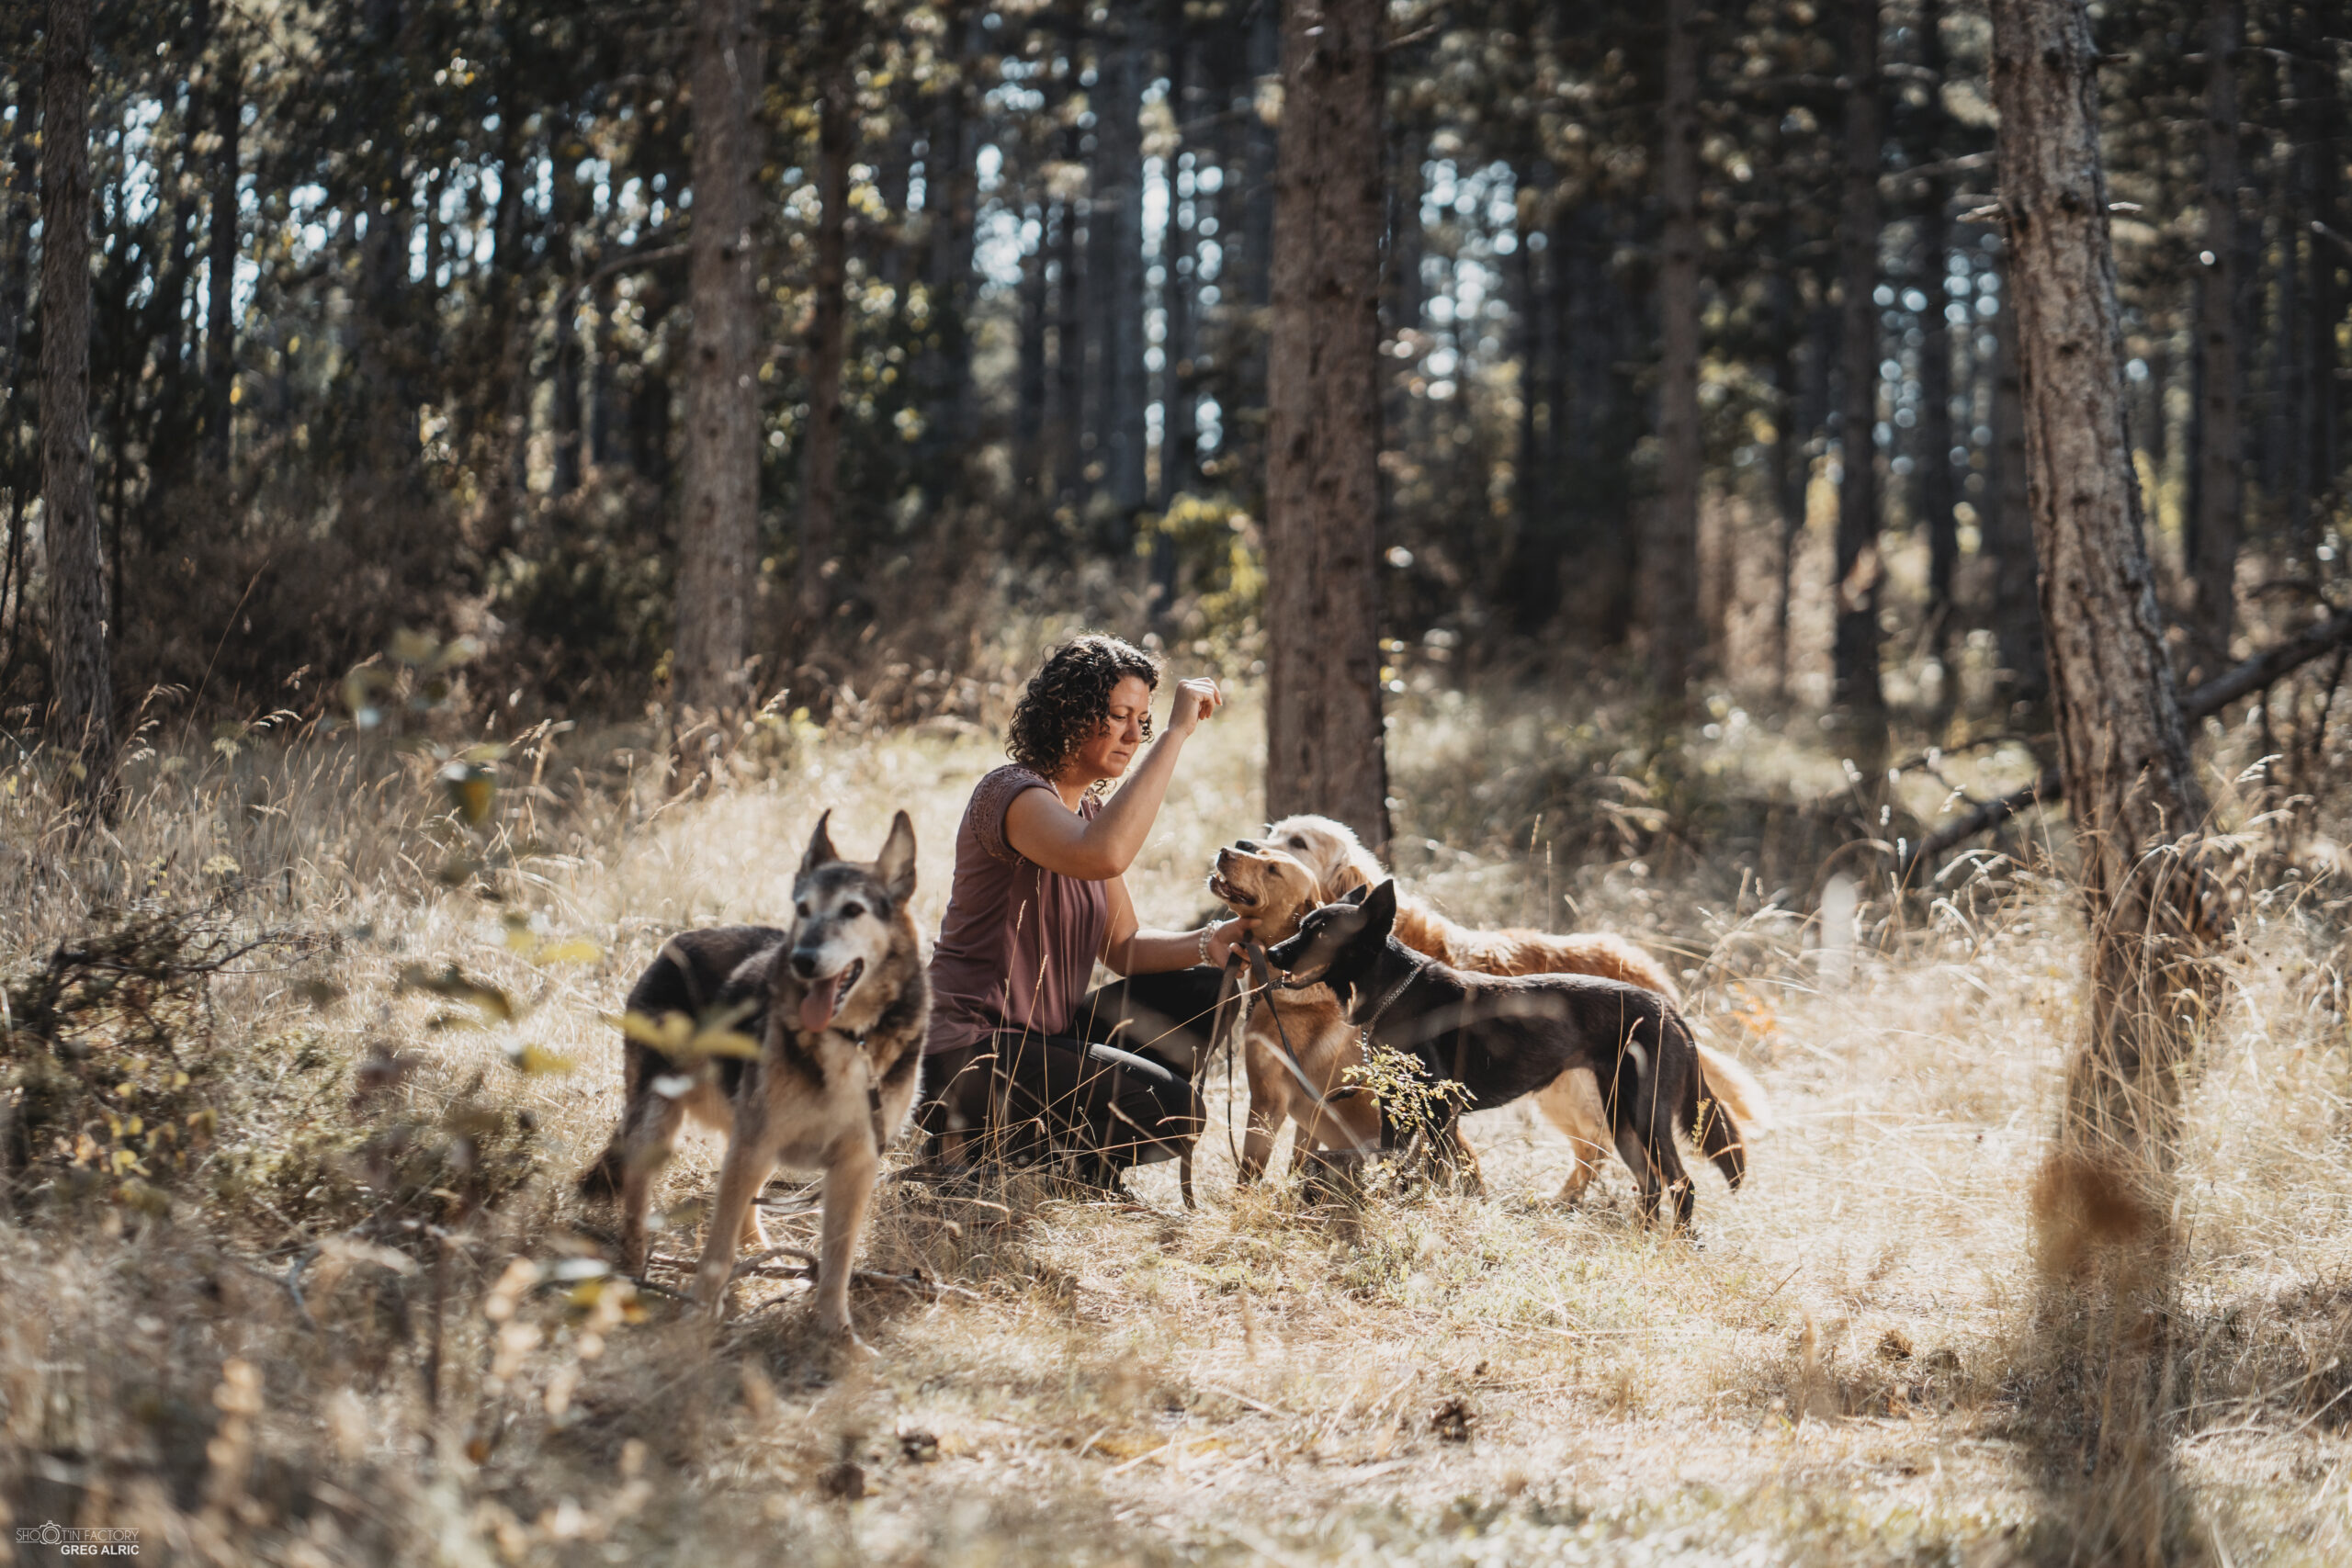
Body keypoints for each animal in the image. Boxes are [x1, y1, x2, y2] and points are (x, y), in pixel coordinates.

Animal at [578, 808, 926, 1354]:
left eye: (852, 910)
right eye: (803, 909)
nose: (802, 959)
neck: (851, 1038)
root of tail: (674, 943)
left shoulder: (854, 1164)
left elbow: (837, 1264)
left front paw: (838, 1336)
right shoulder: (759, 1142)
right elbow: (715, 1254)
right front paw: (698, 1322)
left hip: (753, 1143)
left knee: (744, 1213)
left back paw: (769, 1259)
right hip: (664, 1129)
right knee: (638, 1208)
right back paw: (632, 1279)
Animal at [1213, 846, 1769, 1203]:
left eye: (1321, 931)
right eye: (1303, 925)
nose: (1273, 955)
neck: (1395, 989)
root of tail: (1669, 1010)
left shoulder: (1436, 1113)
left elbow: (1428, 1175)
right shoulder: (1400, 1110)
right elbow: (1400, 1171)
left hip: (1644, 1116)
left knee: (1680, 1184)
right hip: (1623, 1119)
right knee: (1652, 1187)